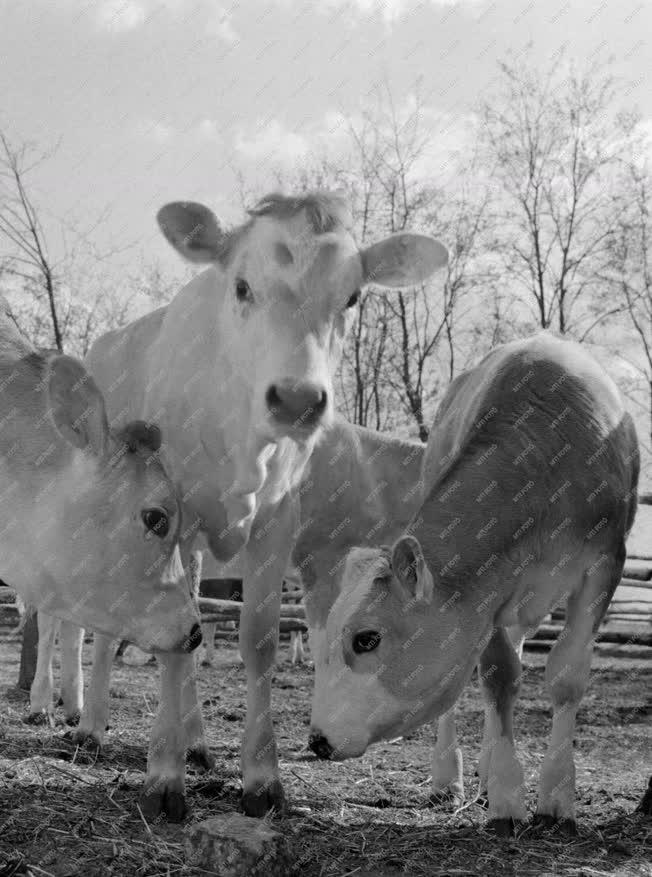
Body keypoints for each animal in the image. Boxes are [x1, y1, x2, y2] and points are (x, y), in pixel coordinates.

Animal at [310, 334, 636, 836]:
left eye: (366, 638)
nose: (317, 740)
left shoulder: (606, 558)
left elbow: (566, 674)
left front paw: (556, 797)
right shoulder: (487, 593)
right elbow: (499, 676)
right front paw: (506, 796)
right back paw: (452, 776)